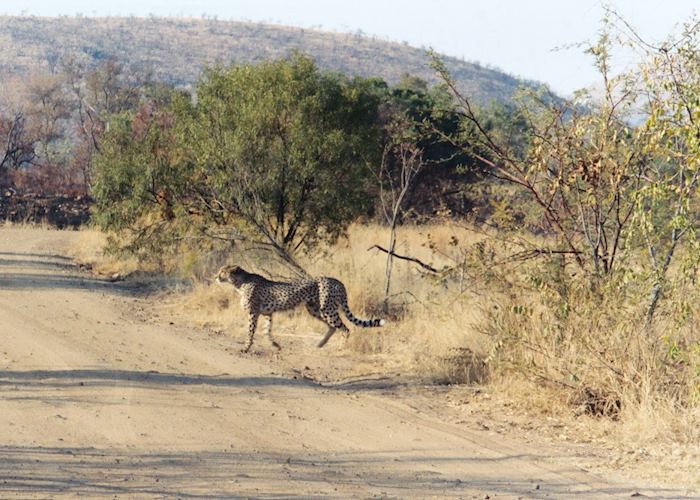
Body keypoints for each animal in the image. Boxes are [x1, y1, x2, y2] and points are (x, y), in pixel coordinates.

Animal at [215, 265, 384, 352]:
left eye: (223, 271)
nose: (216, 276)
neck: (240, 282)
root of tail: (337, 280)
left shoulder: (253, 313)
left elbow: (250, 331)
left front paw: (245, 348)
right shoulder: (267, 313)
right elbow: (266, 331)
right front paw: (275, 345)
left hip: (327, 309)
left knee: (345, 328)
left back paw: (341, 348)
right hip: (315, 309)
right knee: (333, 327)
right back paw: (320, 344)